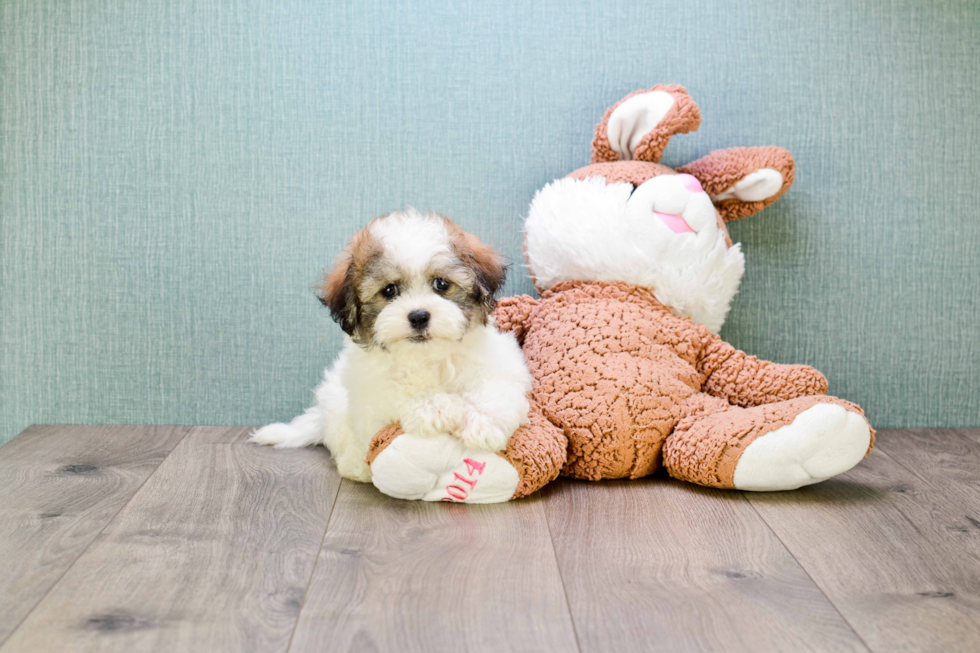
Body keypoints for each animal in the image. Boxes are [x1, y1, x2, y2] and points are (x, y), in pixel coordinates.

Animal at [249, 209, 532, 484]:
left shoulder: (500, 362)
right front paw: (438, 407)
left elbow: (496, 388)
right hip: (335, 402)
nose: (418, 316)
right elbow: (398, 391)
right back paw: (356, 464)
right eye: (389, 290)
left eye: (441, 284)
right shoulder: (370, 390)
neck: (426, 357)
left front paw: (483, 425)